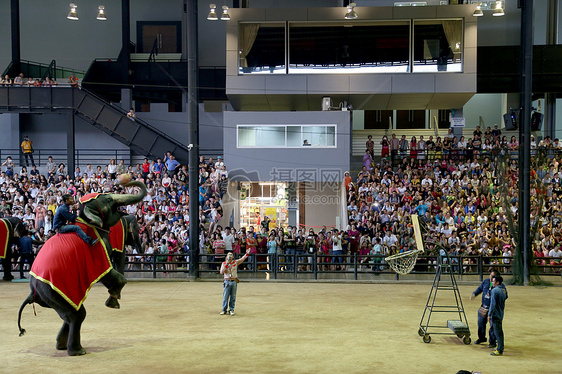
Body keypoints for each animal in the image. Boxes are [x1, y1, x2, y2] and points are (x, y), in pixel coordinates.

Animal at [18, 179, 147, 356]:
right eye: (108, 199)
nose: (124, 180)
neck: (86, 221)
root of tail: (32, 292)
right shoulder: (96, 249)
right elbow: (110, 273)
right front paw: (113, 301)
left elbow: (108, 275)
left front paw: (113, 298)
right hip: (53, 294)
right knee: (76, 316)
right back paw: (77, 351)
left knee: (68, 315)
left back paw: (62, 345)